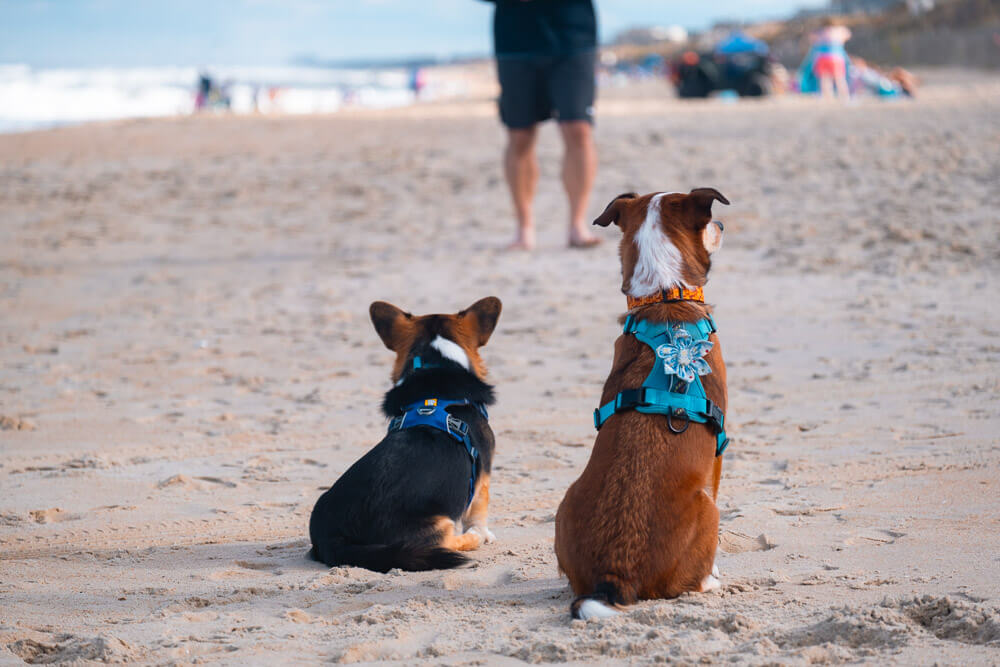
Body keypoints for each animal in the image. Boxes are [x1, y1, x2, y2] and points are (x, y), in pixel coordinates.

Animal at [552, 189, 732, 620]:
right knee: (692, 581)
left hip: (564, 504)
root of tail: (615, 574)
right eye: (709, 220)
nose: (721, 224)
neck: (664, 294)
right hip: (708, 510)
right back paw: (711, 581)